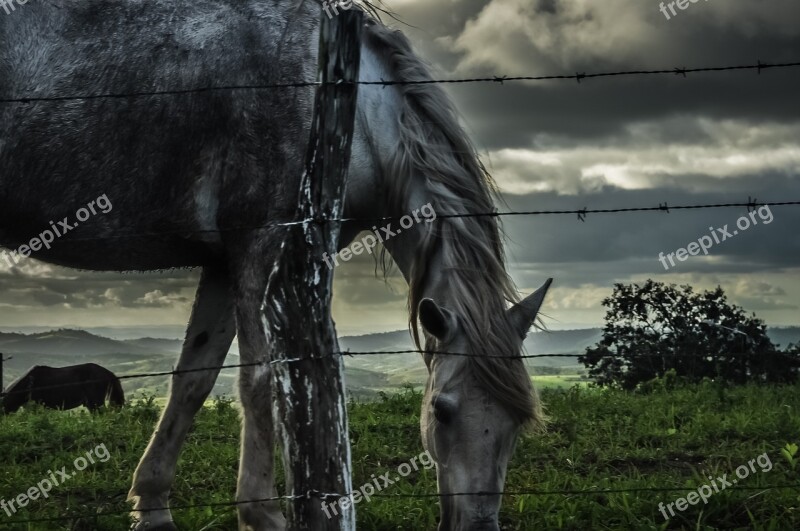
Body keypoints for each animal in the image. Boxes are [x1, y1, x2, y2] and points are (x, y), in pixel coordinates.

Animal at [0, 2, 552, 528]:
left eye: (519, 421)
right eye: (441, 411)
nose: (479, 524)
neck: (352, 112)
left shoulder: (224, 262)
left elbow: (194, 379)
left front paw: (151, 503)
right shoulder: (260, 245)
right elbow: (261, 381)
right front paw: (261, 512)